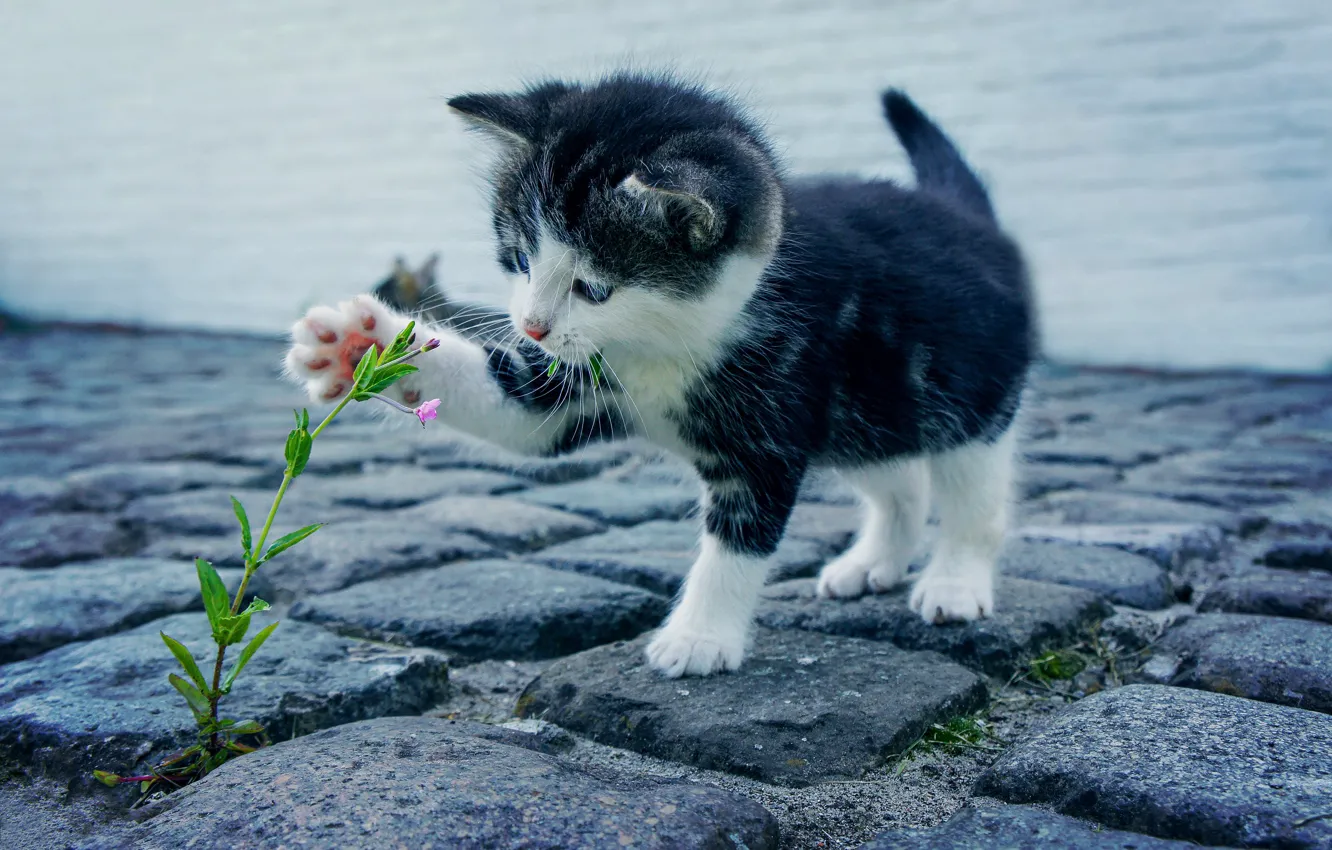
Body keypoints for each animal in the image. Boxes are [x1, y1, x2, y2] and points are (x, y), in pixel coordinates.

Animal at [286, 76, 1033, 682]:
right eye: (521, 257)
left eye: (593, 287)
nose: (531, 326)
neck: (663, 343)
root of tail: (970, 218)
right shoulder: (575, 382)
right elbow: (516, 409)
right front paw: (360, 345)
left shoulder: (773, 416)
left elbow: (739, 537)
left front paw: (699, 637)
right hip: (867, 411)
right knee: (899, 478)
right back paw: (874, 561)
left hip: (968, 394)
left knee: (972, 493)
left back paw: (954, 581)